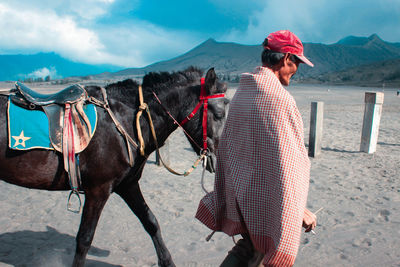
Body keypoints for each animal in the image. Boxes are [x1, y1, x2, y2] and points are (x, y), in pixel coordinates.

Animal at [0, 67, 228, 267]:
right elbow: (84, 239)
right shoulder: (98, 190)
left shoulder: (127, 185)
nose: (217, 161)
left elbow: (151, 222)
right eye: (218, 114)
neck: (127, 121)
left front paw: (167, 261)